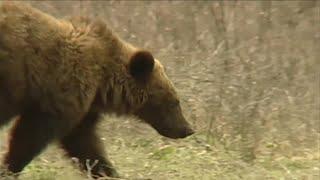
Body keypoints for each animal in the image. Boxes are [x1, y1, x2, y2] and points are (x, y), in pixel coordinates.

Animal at [0, 1, 195, 179]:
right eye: (174, 102)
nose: (187, 129)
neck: (103, 84)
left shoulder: (82, 107)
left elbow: (85, 144)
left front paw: (108, 172)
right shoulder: (58, 95)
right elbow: (30, 136)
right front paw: (10, 168)